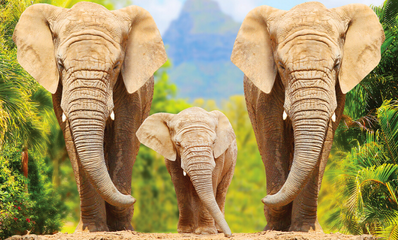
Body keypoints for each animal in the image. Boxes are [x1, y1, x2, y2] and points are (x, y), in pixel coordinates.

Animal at [13, 1, 166, 231]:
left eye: (116, 65)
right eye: (60, 64)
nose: (133, 199)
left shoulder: (132, 93)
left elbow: (123, 139)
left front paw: (122, 229)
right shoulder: (59, 91)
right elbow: (72, 142)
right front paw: (93, 229)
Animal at [137, 107, 236, 238]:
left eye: (214, 142)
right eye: (178, 144)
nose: (229, 235)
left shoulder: (219, 154)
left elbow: (213, 179)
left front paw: (205, 232)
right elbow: (180, 184)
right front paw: (185, 231)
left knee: (221, 190)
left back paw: (217, 230)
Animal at [232, 1, 384, 231]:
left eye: (337, 64)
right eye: (281, 65)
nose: (263, 199)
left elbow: (324, 142)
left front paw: (304, 229)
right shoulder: (265, 93)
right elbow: (273, 137)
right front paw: (275, 228)